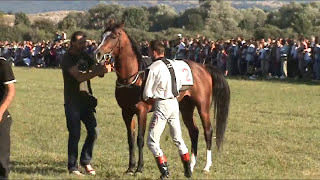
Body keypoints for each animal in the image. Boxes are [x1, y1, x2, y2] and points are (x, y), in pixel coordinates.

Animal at [93, 21, 230, 174]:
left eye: (114, 36)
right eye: (102, 35)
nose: (97, 54)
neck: (134, 76)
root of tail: (203, 67)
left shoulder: (141, 112)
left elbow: (140, 139)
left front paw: (139, 168)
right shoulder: (126, 112)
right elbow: (130, 139)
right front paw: (130, 167)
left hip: (203, 107)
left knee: (208, 131)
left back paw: (206, 166)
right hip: (186, 107)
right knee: (194, 131)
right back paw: (191, 165)